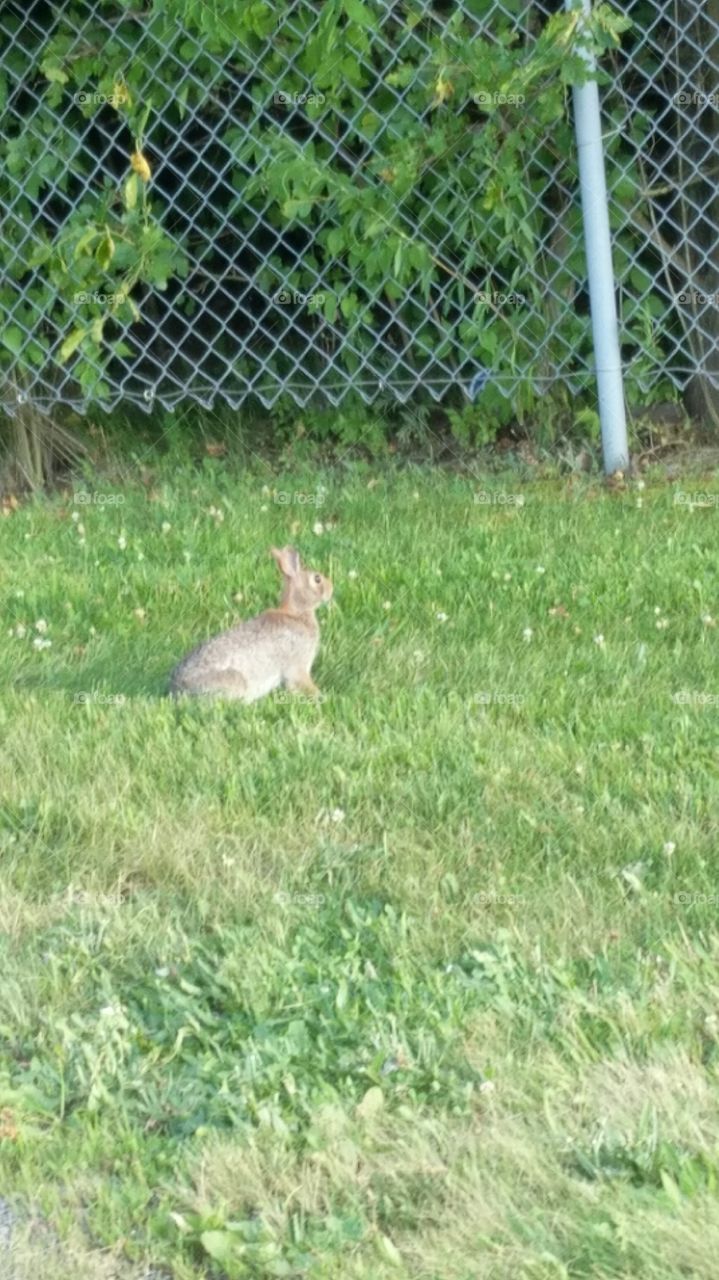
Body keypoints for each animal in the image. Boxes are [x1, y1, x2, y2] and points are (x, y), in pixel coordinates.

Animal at [169, 545, 333, 701]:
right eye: (317, 579)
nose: (331, 589)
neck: (297, 613)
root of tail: (179, 688)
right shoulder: (298, 665)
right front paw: (320, 696)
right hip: (236, 681)